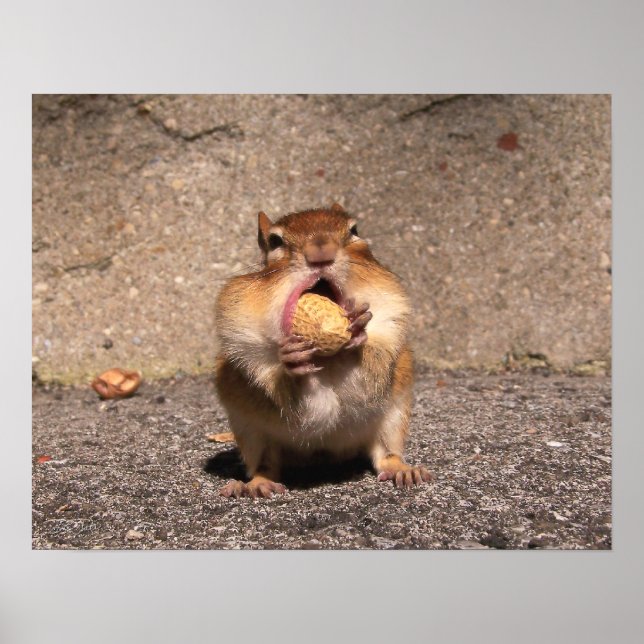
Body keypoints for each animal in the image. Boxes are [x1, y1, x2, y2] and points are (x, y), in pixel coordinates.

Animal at [214, 203, 432, 498]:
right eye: (275, 241)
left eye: (354, 230)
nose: (321, 252)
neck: (327, 362)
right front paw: (294, 367)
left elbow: (365, 383)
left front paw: (356, 334)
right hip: (251, 433)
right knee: (265, 465)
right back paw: (255, 484)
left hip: (394, 418)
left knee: (386, 455)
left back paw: (404, 470)